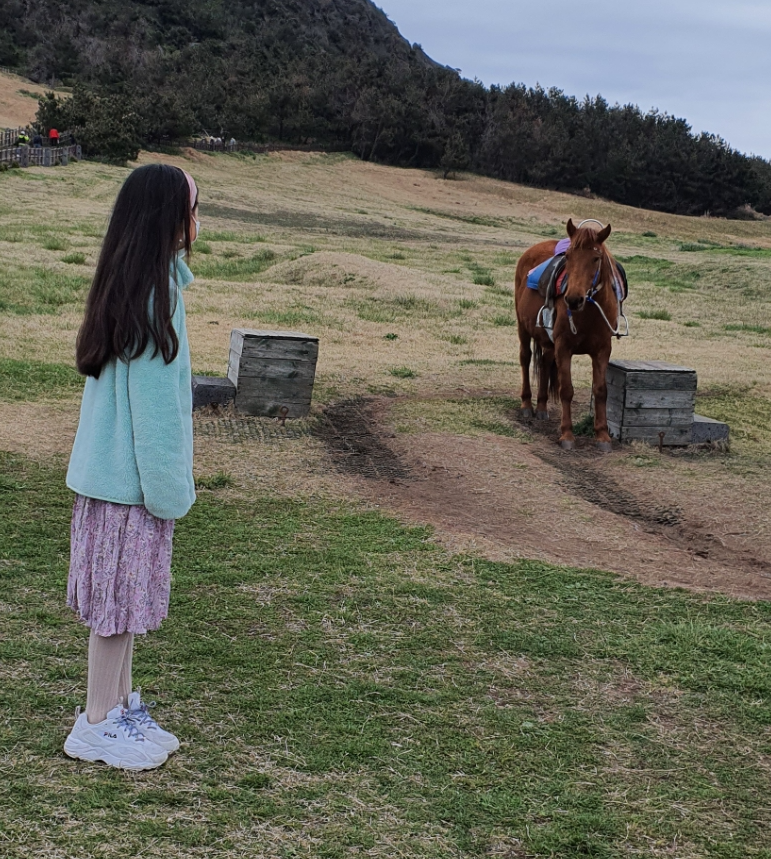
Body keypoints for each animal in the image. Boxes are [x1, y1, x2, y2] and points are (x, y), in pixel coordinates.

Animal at [514, 219, 625, 452]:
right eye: (568, 257)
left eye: (596, 258)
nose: (573, 299)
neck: (589, 312)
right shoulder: (564, 347)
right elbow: (566, 390)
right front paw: (567, 434)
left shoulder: (602, 350)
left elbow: (601, 390)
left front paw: (602, 436)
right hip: (523, 328)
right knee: (525, 359)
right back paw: (527, 403)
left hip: (548, 342)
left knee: (545, 362)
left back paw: (542, 407)